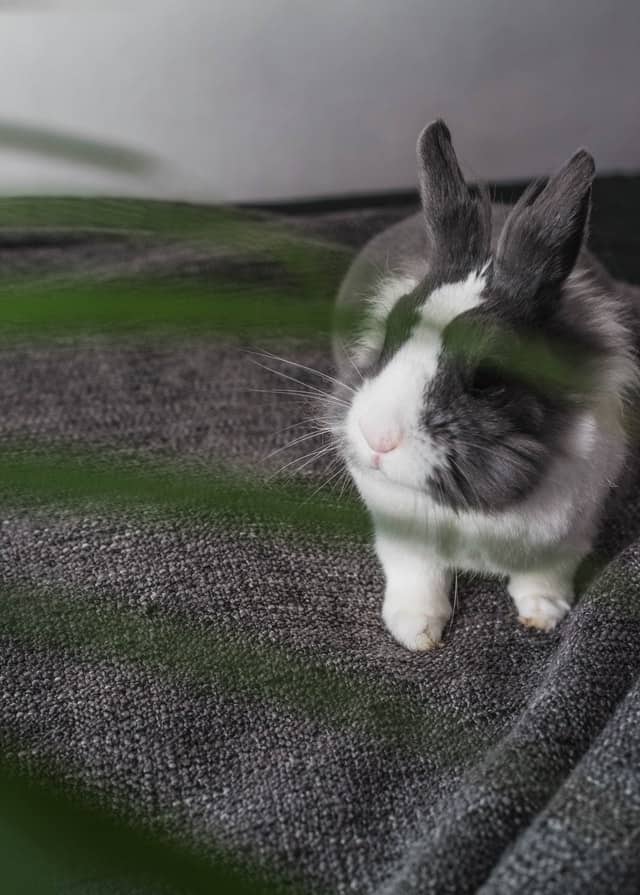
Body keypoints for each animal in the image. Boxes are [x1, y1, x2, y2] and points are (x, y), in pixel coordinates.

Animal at [327, 119, 639, 651]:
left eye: (488, 378)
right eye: (389, 333)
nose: (377, 438)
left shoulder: (570, 533)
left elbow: (545, 576)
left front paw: (544, 615)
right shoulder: (400, 536)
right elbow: (417, 576)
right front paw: (416, 633)